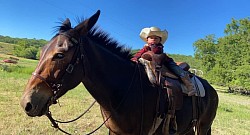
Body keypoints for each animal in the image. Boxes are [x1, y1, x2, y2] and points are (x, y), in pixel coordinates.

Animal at [20, 10, 219, 135]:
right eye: (42, 50)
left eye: (60, 54)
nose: (26, 103)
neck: (123, 93)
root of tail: (211, 89)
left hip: (203, 127)